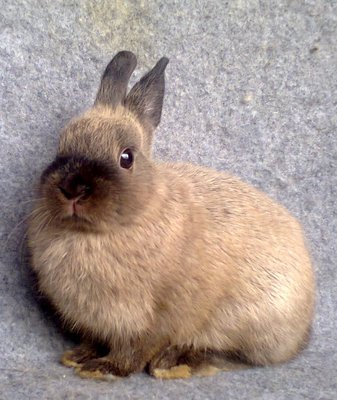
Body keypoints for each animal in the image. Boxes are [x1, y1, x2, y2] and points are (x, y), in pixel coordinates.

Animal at [27, 51, 314, 380]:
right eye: (61, 147)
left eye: (126, 157)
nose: (72, 188)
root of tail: (304, 329)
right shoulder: (95, 322)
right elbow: (93, 340)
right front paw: (77, 358)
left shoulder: (155, 318)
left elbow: (133, 350)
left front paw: (103, 369)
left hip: (248, 320)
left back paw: (173, 364)